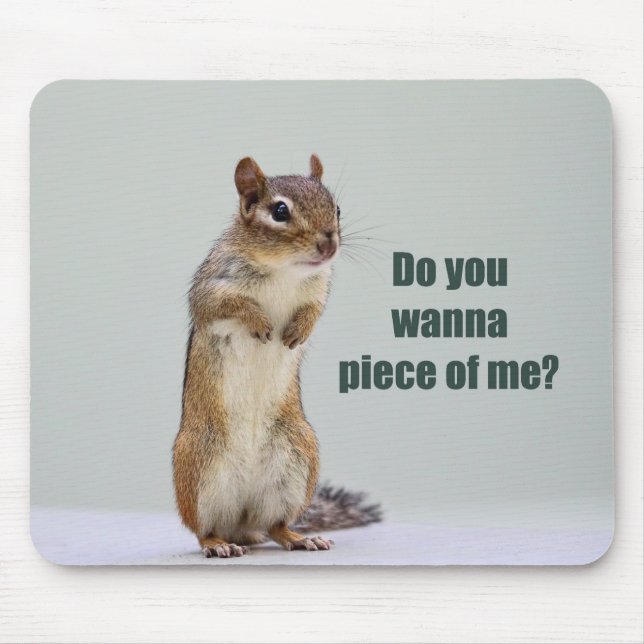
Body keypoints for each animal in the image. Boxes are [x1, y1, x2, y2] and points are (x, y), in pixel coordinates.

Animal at [173, 154, 380, 558]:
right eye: (279, 211)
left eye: (336, 208)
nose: (329, 243)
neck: (283, 270)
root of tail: (241, 524)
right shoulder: (213, 284)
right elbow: (225, 304)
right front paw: (259, 321)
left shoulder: (318, 290)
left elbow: (314, 312)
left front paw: (298, 330)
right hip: (197, 465)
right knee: (203, 529)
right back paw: (217, 544)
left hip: (296, 459)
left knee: (275, 524)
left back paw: (300, 537)